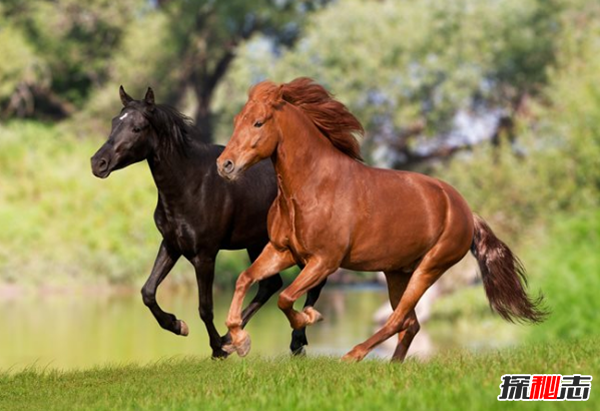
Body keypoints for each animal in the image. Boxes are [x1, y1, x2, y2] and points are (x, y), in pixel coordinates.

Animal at [89, 87, 326, 358]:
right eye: (114, 122)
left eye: (137, 128)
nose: (98, 163)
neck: (191, 185)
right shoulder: (171, 245)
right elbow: (147, 292)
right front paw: (179, 325)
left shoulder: (205, 255)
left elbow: (205, 307)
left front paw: (216, 349)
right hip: (257, 244)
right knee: (271, 284)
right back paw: (235, 339)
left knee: (314, 280)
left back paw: (295, 341)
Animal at [217, 79, 548, 362]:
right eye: (236, 121)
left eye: (258, 122)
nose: (225, 165)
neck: (311, 187)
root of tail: (465, 210)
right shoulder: (282, 251)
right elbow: (244, 278)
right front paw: (239, 341)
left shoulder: (324, 261)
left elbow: (285, 298)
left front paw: (310, 317)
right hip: (397, 273)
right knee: (410, 323)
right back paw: (392, 365)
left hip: (429, 268)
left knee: (398, 319)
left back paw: (352, 356)